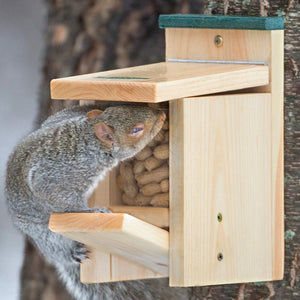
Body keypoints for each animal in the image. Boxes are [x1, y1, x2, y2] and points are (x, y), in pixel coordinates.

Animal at [5, 104, 189, 298]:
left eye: (126, 106)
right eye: (136, 130)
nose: (162, 114)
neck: (90, 142)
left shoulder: (59, 120)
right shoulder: (55, 176)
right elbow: (58, 196)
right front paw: (92, 211)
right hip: (45, 236)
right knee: (57, 251)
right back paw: (72, 253)